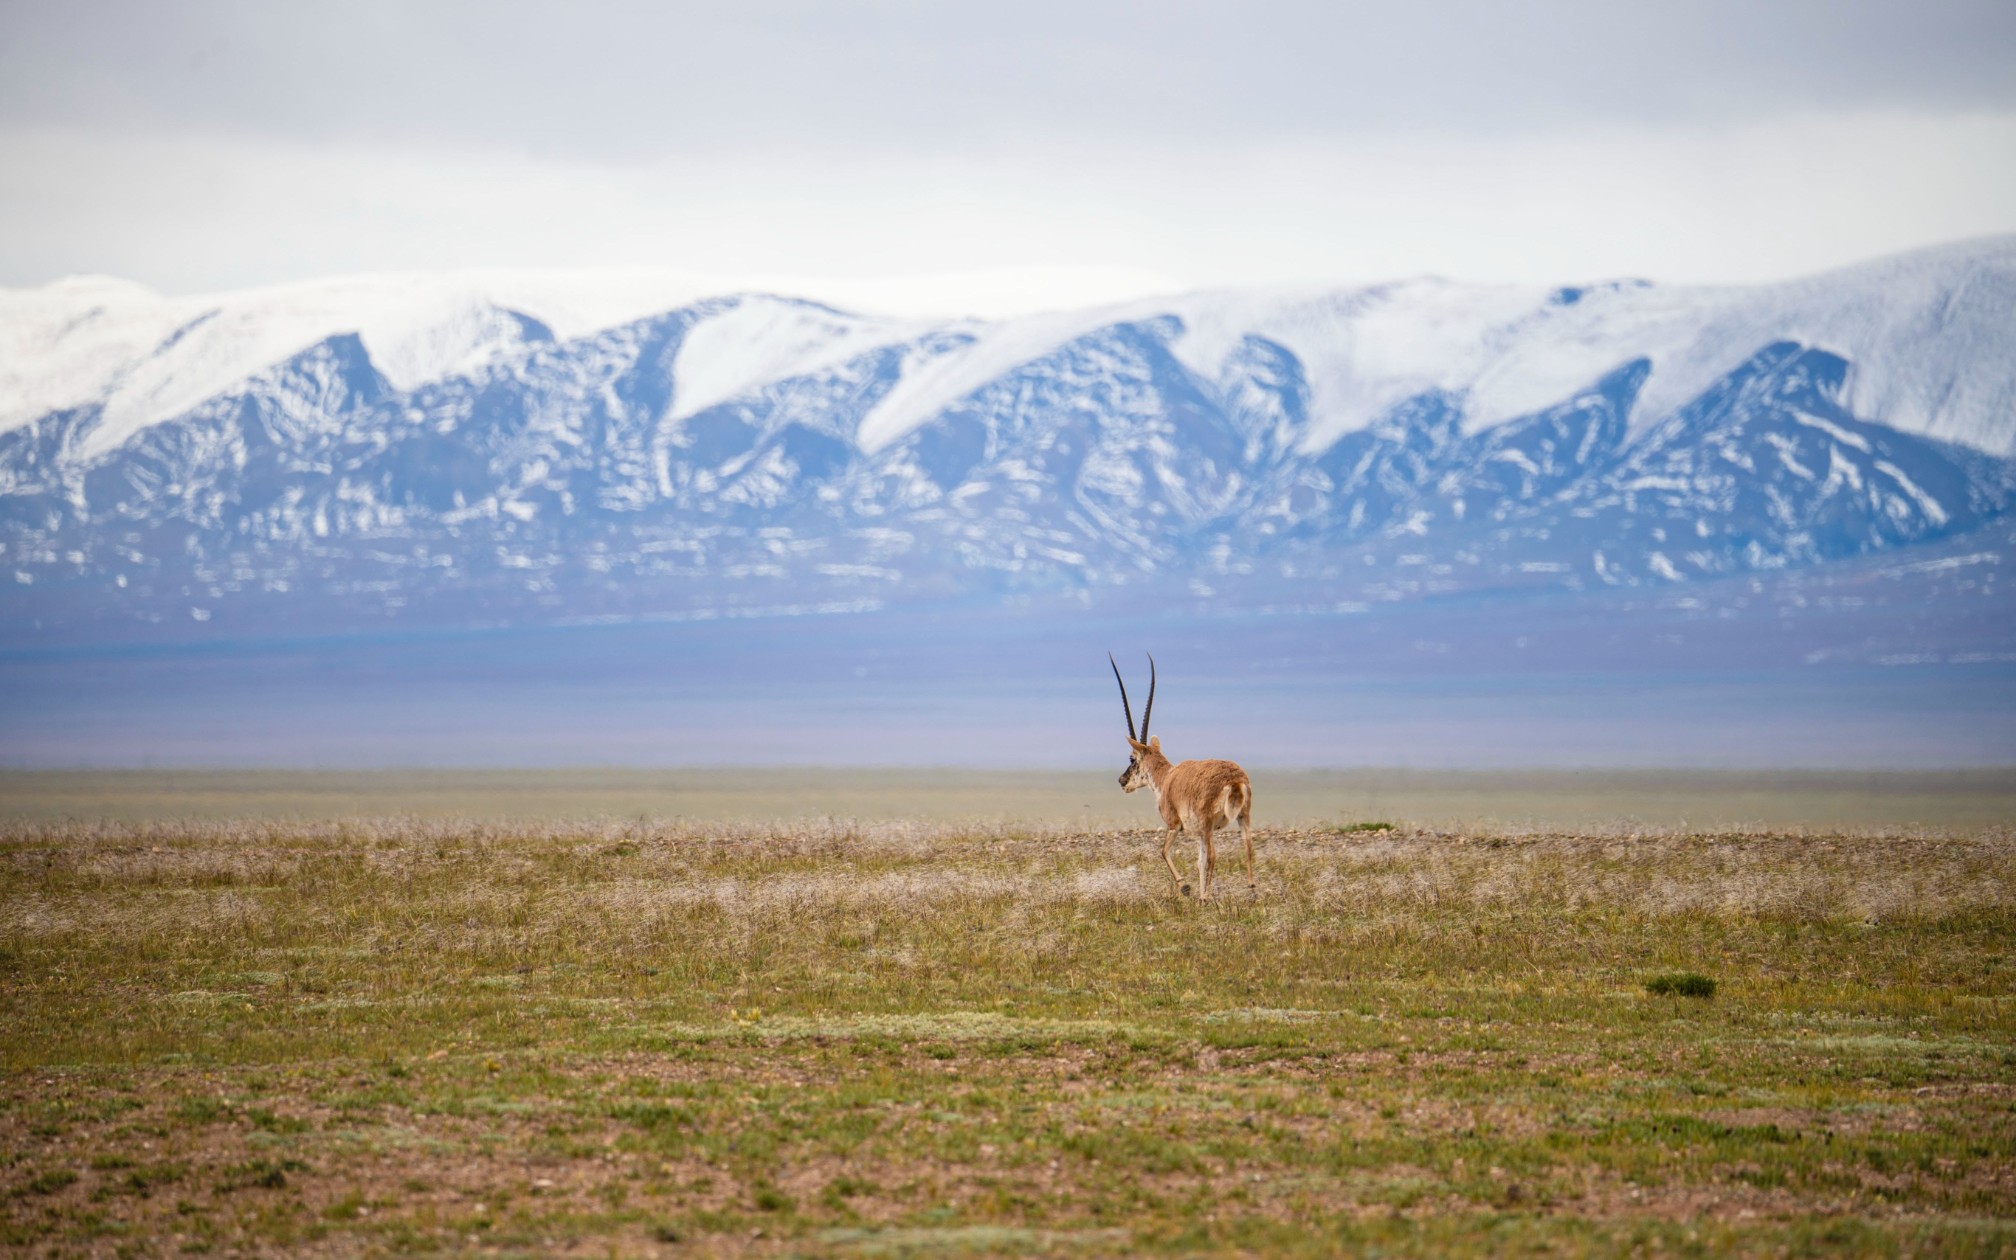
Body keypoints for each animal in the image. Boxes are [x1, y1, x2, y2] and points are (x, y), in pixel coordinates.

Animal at [1112, 653, 1249, 899]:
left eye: (1132, 758)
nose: (1122, 780)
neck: (1167, 777)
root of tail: (1233, 780)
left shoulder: (1174, 824)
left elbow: (1164, 851)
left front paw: (1185, 887)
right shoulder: (1198, 833)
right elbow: (1199, 861)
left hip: (1208, 824)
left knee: (1213, 856)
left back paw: (1206, 898)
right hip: (1239, 819)